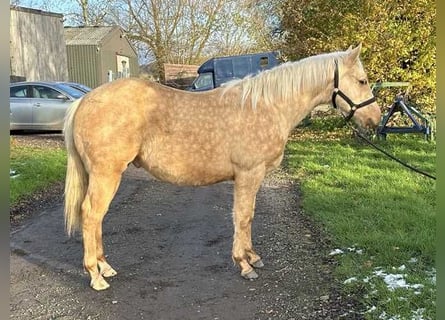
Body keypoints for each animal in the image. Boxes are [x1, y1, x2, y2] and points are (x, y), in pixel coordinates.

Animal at [63, 43, 382, 292]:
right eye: (362, 81)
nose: (375, 119)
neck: (267, 106)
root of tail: (84, 101)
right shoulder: (249, 173)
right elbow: (242, 217)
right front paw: (244, 264)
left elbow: (249, 216)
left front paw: (252, 257)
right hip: (106, 174)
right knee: (91, 215)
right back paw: (96, 276)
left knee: (97, 218)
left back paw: (105, 267)